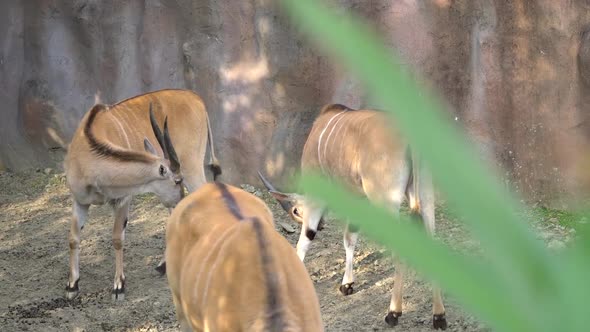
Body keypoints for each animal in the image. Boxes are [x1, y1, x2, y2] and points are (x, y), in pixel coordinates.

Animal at [64, 89, 222, 300]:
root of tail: (196, 98)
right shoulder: (79, 200)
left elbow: (117, 238)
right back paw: (165, 265)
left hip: (193, 168)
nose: (180, 197)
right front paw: (72, 285)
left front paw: (118, 286)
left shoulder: (123, 199)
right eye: (176, 180)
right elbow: (73, 238)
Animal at [260, 103, 448, 330]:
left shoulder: (317, 193)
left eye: (296, 211)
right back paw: (439, 316)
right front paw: (347, 284)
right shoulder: (359, 200)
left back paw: (393, 312)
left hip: (386, 201)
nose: (322, 225)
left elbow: (306, 239)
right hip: (425, 196)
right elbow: (350, 237)